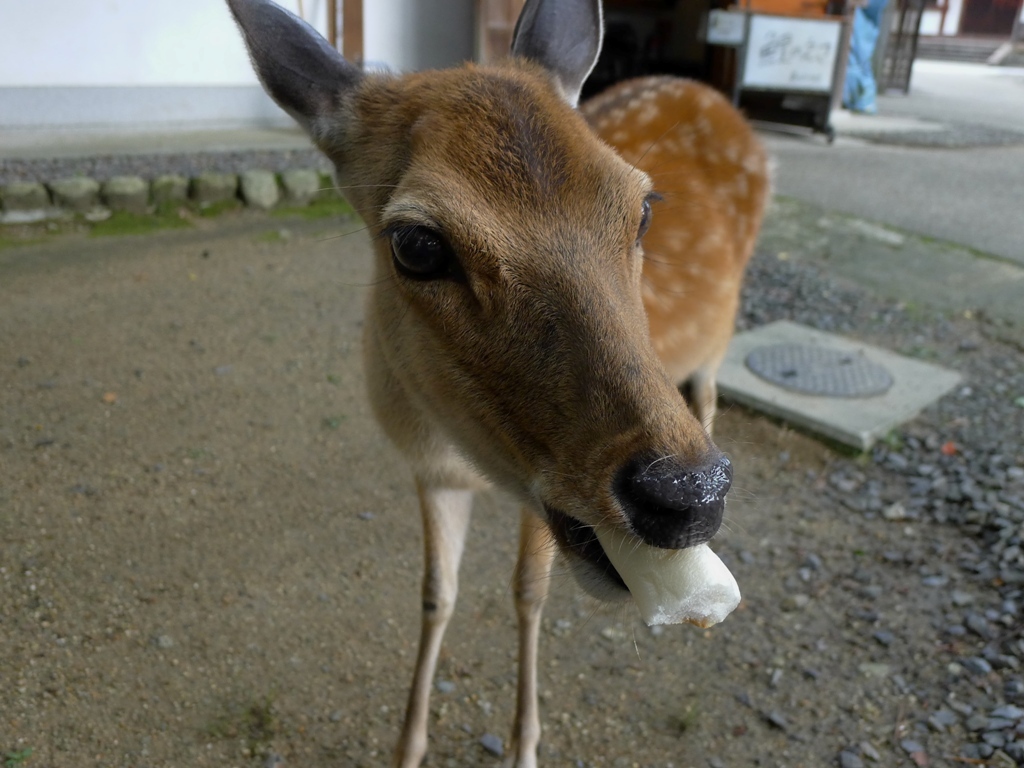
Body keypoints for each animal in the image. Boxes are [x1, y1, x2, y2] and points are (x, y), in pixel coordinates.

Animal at [226, 1, 770, 768]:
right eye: (416, 244)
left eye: (643, 207)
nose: (686, 494)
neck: (466, 452)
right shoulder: (429, 472)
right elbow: (436, 593)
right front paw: (407, 745)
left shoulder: (543, 492)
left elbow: (528, 592)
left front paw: (525, 746)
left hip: (722, 334)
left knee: (712, 388)